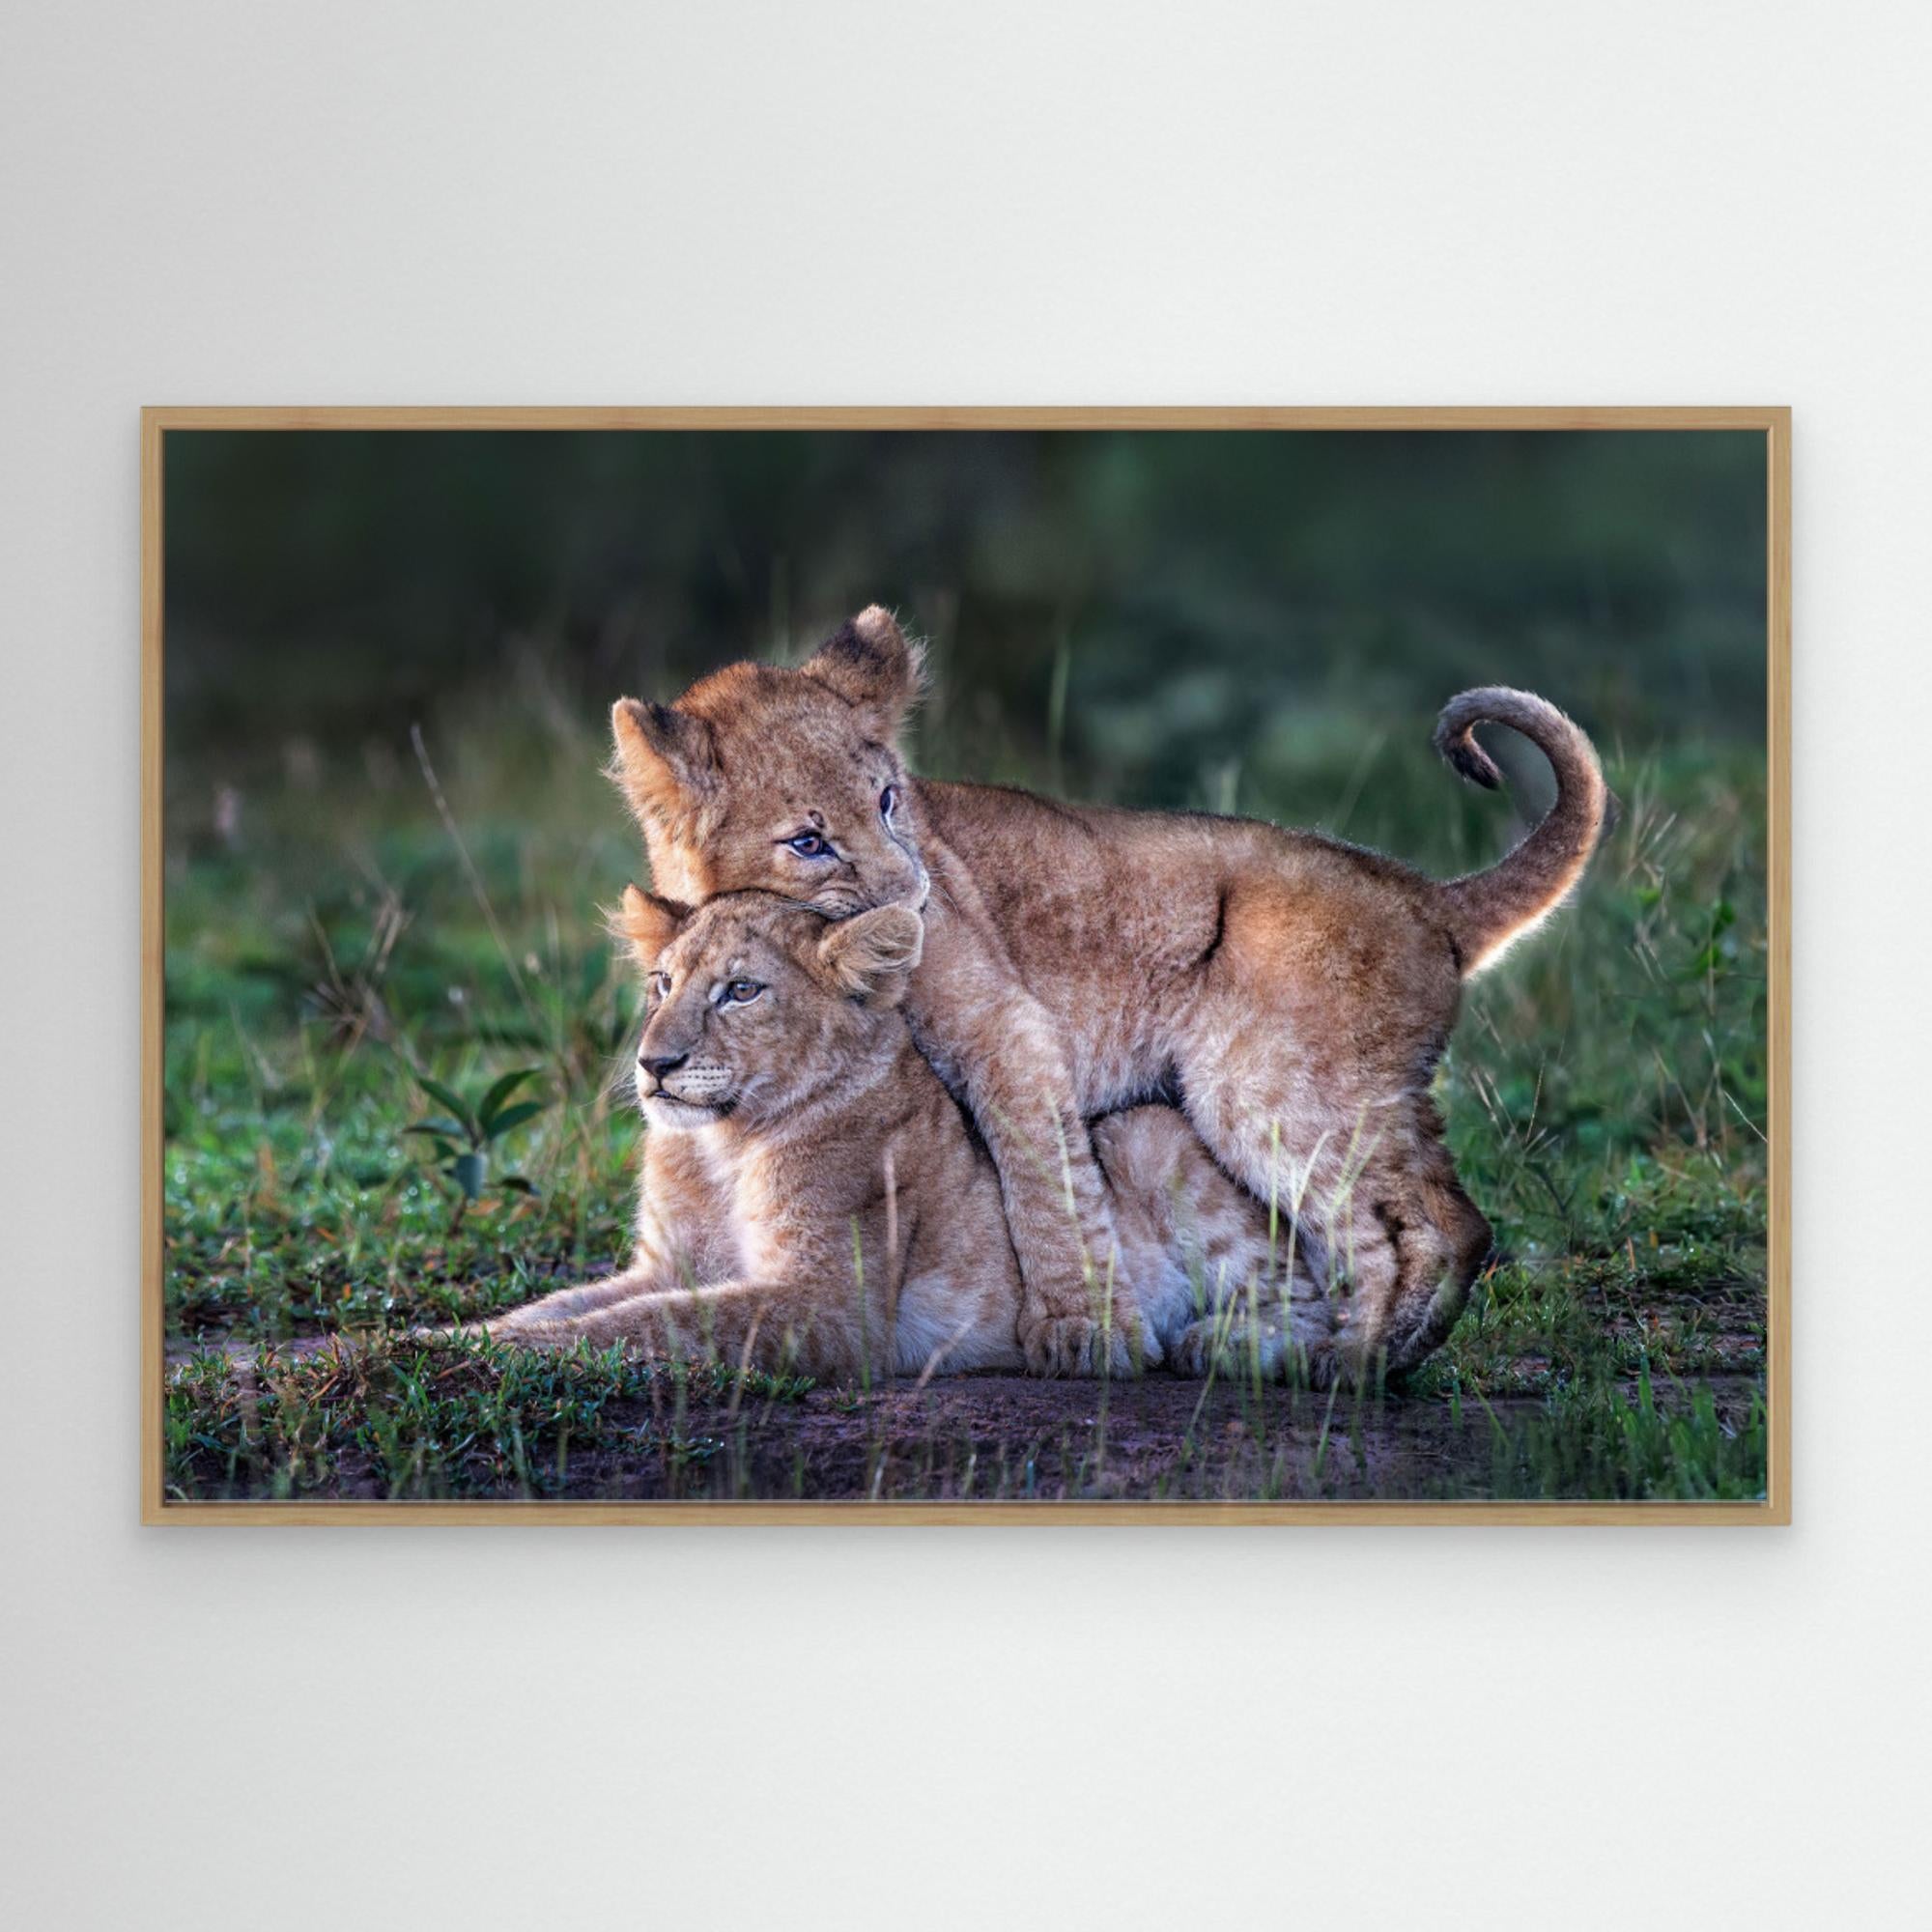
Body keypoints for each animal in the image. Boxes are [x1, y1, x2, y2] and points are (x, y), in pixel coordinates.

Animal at [488, 891, 1324, 1381]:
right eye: (662, 983)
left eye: (742, 990)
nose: (654, 1064)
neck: (720, 1145)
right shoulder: (669, 1264)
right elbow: (572, 1305)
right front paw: (470, 1333)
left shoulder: (827, 1307)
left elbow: (655, 1323)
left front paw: (503, 1351)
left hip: (1144, 1130)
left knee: (1317, 1302)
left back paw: (1224, 1344)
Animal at [608, 607, 1608, 1383]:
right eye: (809, 841)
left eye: (890, 801)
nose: (917, 899)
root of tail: (1425, 894)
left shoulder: (1006, 1028)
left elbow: (1044, 1179)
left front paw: (1082, 1331)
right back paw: (1268, 1350)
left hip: (1268, 1089)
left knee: (1438, 1226)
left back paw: (1352, 1363)